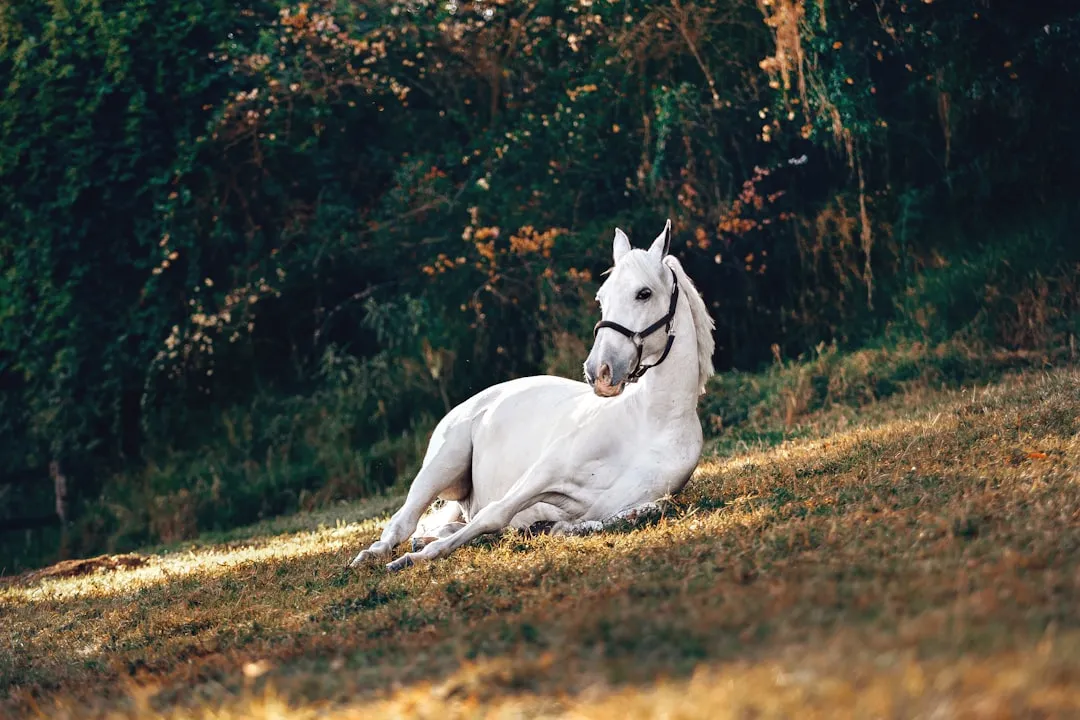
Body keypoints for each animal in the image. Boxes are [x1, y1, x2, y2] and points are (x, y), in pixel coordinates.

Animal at [350, 219, 715, 571]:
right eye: (602, 297)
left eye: (644, 293)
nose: (599, 371)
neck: (650, 423)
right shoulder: (543, 473)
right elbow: (494, 513)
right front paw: (415, 559)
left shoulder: (619, 503)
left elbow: (629, 514)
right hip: (440, 467)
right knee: (403, 522)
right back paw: (374, 555)